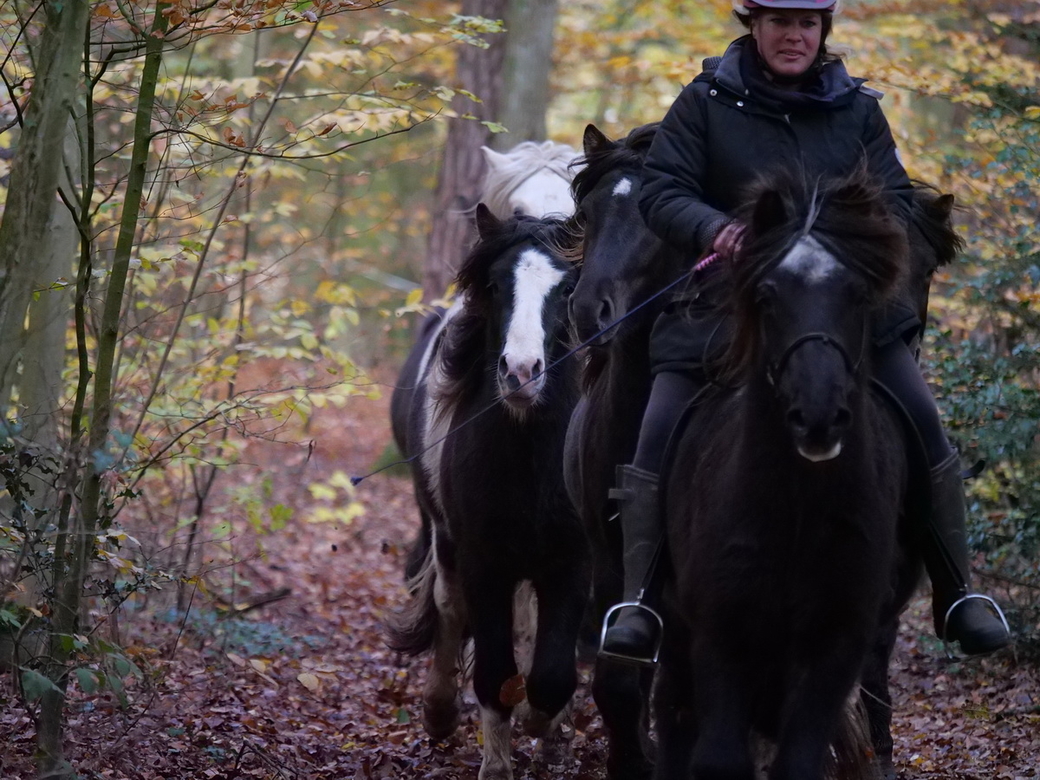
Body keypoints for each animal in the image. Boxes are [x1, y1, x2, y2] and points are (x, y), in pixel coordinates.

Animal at [388, 208, 590, 780]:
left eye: (567, 288)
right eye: (497, 285)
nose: (520, 373)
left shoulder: (571, 562)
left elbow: (549, 676)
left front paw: (547, 727)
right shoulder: (485, 562)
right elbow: (494, 674)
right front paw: (497, 762)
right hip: (446, 539)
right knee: (449, 606)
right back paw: (439, 712)